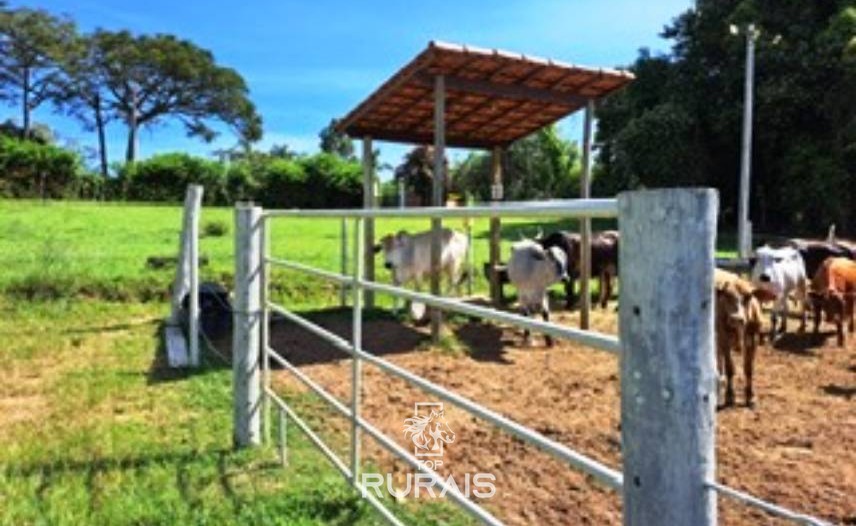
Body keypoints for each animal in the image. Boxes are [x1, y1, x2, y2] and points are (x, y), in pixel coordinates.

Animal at [712, 270, 764, 410]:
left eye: (748, 297)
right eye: (727, 296)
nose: (736, 318)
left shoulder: (753, 339)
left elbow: (749, 369)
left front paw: (750, 397)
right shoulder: (723, 338)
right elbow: (730, 368)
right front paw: (730, 396)